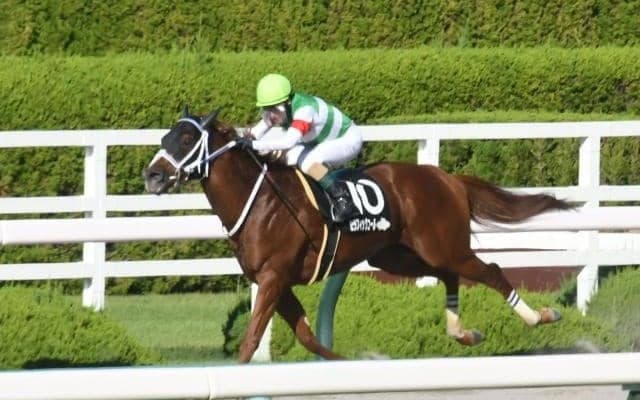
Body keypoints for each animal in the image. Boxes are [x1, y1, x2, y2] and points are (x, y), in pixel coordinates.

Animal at [143, 107, 573, 362]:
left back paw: (539, 315)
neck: (262, 200)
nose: (153, 175)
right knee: (450, 274)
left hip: (443, 245)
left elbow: (250, 340)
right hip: (399, 254)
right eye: (165, 138)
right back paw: (463, 332)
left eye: (186, 140)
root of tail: (447, 177)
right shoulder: (276, 281)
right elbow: (309, 338)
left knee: (491, 270)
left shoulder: (273, 277)